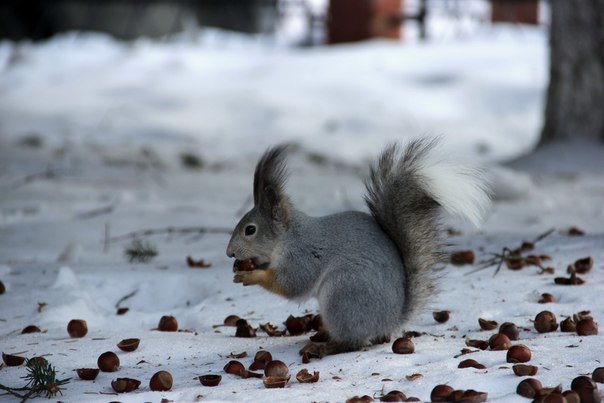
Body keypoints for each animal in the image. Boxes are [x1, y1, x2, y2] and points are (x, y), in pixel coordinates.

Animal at [224, 138, 488, 356]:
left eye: (250, 230)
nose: (230, 253)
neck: (288, 238)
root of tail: (390, 321)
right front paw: (240, 269)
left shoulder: (304, 256)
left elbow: (292, 284)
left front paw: (251, 276)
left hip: (343, 296)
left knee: (354, 343)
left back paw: (327, 347)